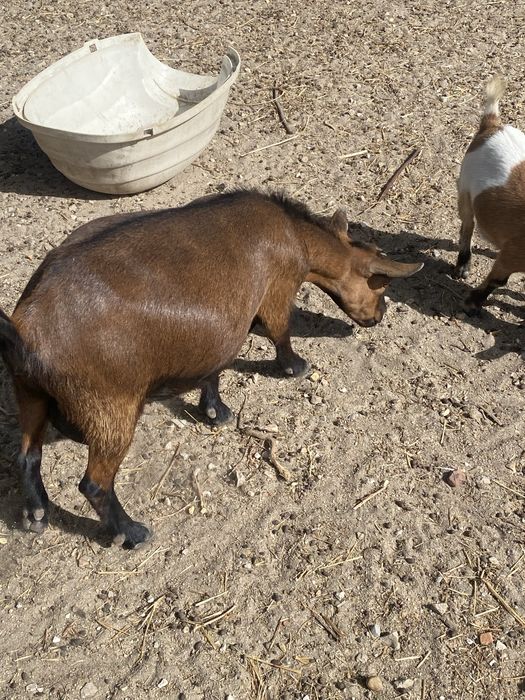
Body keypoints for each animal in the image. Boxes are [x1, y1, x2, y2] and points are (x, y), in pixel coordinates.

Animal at [0, 190, 422, 548]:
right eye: (381, 284)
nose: (379, 316)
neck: (294, 234)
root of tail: (27, 328)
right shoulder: (277, 289)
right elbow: (279, 331)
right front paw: (296, 367)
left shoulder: (218, 333)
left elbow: (214, 369)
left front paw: (216, 412)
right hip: (110, 405)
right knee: (94, 484)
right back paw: (132, 533)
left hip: (28, 391)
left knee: (28, 454)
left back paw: (36, 514)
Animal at [455, 76, 525, 312]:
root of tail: (494, 125)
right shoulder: (513, 253)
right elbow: (498, 279)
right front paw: (472, 302)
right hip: (465, 187)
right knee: (468, 224)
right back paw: (463, 265)